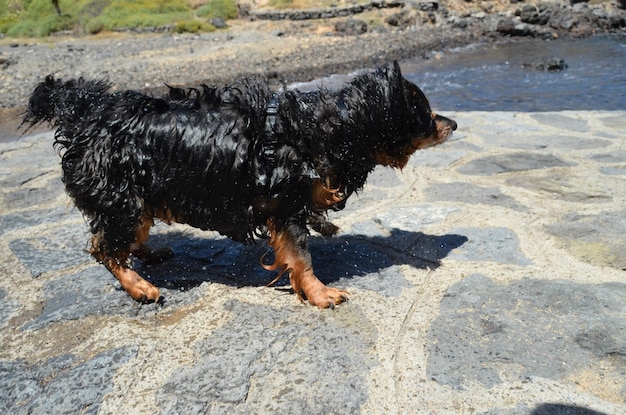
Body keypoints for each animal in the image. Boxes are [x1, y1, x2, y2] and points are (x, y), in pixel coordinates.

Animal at [24, 61, 454, 308]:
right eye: (427, 113)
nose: (453, 122)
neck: (330, 127)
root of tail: (86, 112)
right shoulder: (286, 205)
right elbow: (301, 258)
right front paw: (320, 294)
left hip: (137, 200)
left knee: (123, 240)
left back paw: (148, 254)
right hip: (120, 198)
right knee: (104, 248)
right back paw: (140, 286)